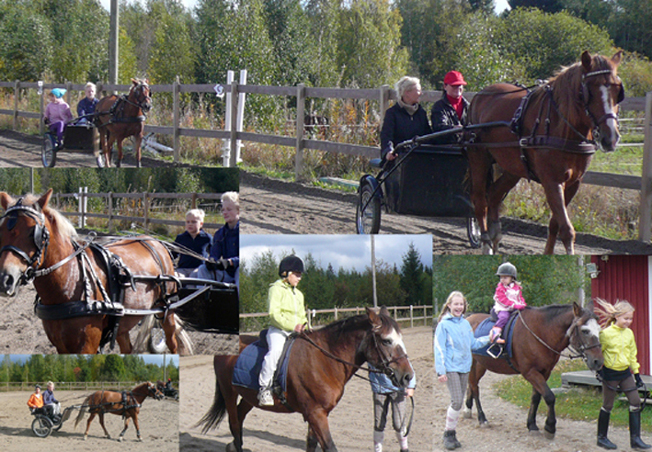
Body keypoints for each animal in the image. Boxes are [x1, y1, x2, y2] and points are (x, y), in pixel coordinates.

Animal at [0, 189, 188, 354]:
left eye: (33, 232)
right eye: (1, 230)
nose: (5, 279)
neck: (69, 279)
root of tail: (155, 241)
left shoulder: (87, 345)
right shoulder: (60, 346)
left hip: (167, 308)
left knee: (172, 341)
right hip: (122, 321)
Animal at [196, 308, 416, 452]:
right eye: (387, 340)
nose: (408, 376)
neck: (324, 359)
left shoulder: (317, 414)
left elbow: (311, 444)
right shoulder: (316, 414)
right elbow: (329, 447)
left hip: (249, 397)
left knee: (240, 419)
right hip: (229, 392)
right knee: (234, 423)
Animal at [466, 51, 624, 254]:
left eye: (617, 91)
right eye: (589, 91)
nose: (610, 137)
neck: (561, 126)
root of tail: (479, 95)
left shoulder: (574, 183)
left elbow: (555, 224)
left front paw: (547, 256)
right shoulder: (551, 181)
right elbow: (567, 230)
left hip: (512, 168)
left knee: (493, 194)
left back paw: (495, 238)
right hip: (478, 157)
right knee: (480, 201)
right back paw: (486, 245)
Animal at [466, 304, 604, 438]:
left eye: (599, 330)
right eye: (585, 330)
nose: (598, 361)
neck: (541, 332)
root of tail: (468, 318)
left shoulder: (544, 372)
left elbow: (536, 397)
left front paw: (532, 425)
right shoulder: (530, 372)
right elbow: (549, 396)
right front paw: (550, 427)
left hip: (481, 365)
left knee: (472, 386)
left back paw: (467, 409)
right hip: (472, 365)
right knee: (474, 387)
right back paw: (482, 418)